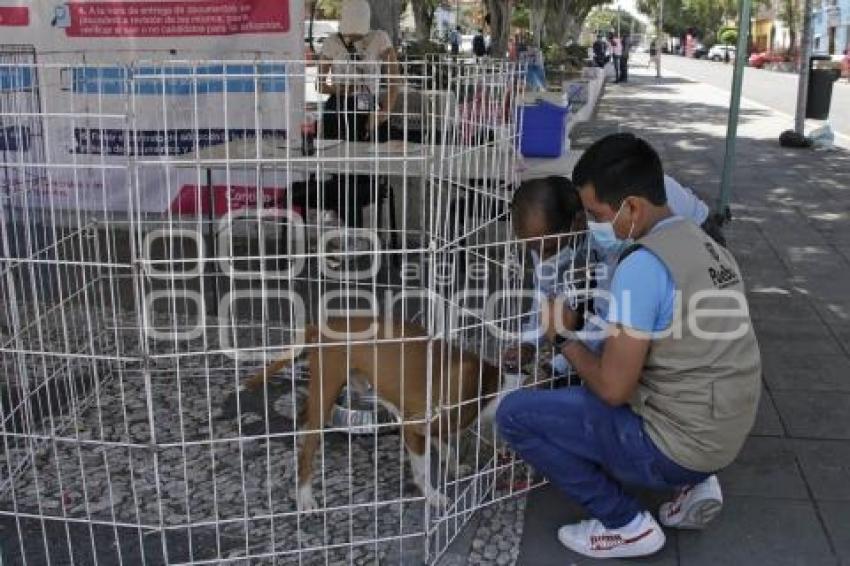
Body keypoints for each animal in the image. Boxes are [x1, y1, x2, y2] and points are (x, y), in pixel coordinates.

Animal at [243, 318, 504, 512]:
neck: (489, 386)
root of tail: (324, 324)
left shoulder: (426, 420)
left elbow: (445, 446)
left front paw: (454, 467)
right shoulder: (415, 425)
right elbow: (422, 470)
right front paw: (432, 496)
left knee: (304, 417)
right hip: (327, 388)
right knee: (307, 451)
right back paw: (305, 497)